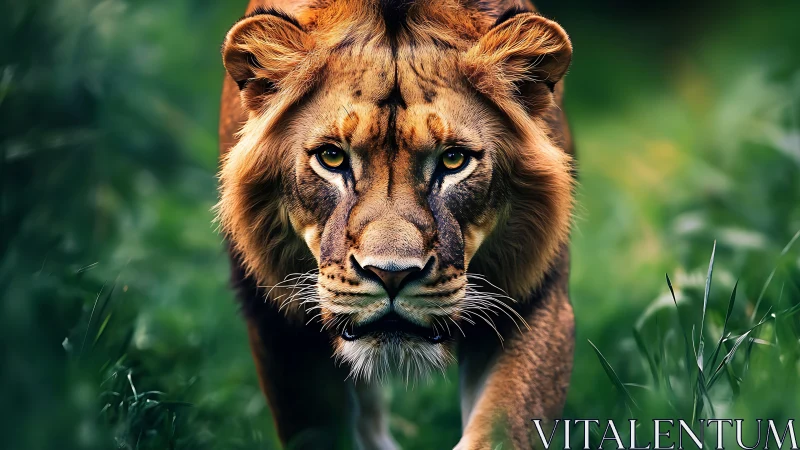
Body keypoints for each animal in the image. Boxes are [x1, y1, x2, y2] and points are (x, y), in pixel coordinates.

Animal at [217, 0, 575, 448]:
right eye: (332, 158)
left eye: (453, 160)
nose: (391, 275)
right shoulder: (278, 321)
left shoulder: (532, 297)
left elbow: (503, 428)